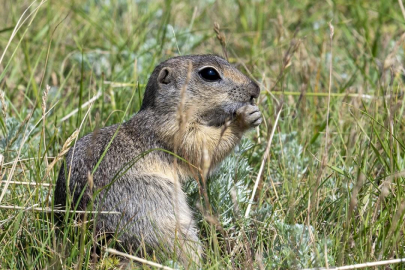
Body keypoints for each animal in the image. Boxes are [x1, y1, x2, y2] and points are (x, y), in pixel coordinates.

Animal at [53, 53, 262, 266]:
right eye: (210, 73)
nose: (256, 90)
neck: (167, 112)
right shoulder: (175, 133)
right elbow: (204, 148)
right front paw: (245, 118)